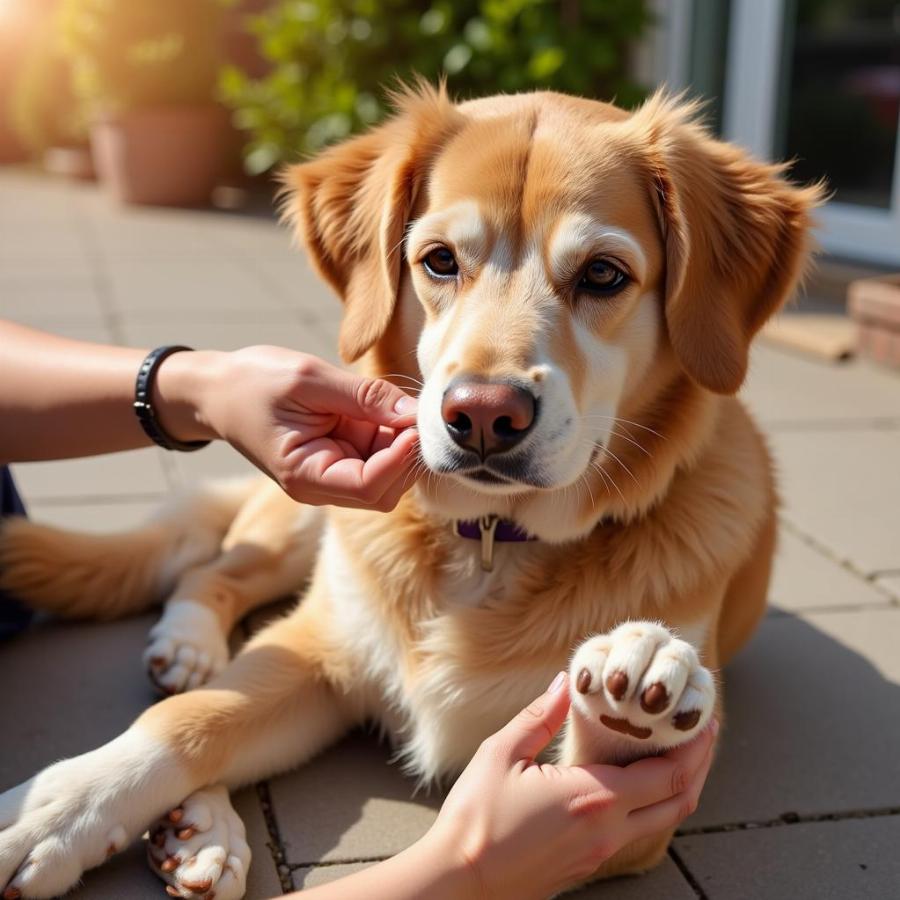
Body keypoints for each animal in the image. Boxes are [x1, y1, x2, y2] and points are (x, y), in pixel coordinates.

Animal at [0, 81, 824, 896]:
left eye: (603, 274)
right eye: (438, 260)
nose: (484, 415)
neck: (491, 542)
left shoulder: (645, 811)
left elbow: (597, 776)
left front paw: (629, 710)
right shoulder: (320, 652)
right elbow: (190, 722)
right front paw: (53, 811)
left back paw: (202, 829)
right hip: (302, 529)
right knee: (213, 575)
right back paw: (188, 654)